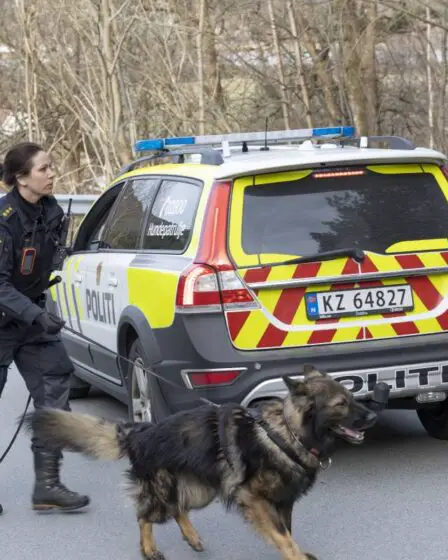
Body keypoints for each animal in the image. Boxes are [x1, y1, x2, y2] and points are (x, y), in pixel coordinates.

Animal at [25, 366, 378, 560]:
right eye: (341, 404)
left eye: (352, 398)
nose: (373, 416)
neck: (288, 432)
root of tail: (140, 430)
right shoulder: (255, 499)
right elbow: (282, 537)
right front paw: (297, 556)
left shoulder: (283, 502)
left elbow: (286, 534)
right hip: (165, 489)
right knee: (145, 515)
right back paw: (149, 549)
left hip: (201, 489)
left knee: (178, 509)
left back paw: (192, 538)